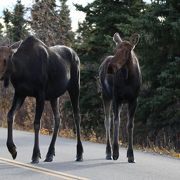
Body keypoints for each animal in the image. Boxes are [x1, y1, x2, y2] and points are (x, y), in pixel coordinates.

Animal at [0, 35, 83, 164]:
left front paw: (35, 155)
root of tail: (76, 55)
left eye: (5, 59)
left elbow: (36, 123)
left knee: (77, 116)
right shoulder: (20, 93)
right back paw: (50, 154)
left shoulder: (40, 94)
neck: (20, 70)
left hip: (74, 86)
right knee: (57, 119)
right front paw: (12, 149)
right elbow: (10, 115)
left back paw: (79, 153)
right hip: (55, 96)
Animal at [99, 32, 141, 163]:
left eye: (126, 51)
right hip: (106, 95)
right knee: (107, 121)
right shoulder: (116, 97)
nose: (110, 67)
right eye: (115, 49)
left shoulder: (133, 100)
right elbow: (116, 122)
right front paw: (116, 152)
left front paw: (131, 155)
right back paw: (108, 152)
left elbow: (130, 125)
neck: (128, 78)